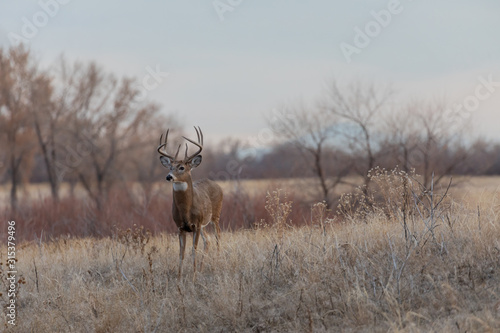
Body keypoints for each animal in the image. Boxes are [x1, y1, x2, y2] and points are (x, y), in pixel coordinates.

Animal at [158, 126, 223, 278]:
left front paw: (193, 277)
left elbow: (194, 250)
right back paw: (201, 269)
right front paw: (179, 277)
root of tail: (218, 185)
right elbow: (181, 253)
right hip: (204, 224)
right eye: (170, 167)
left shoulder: (196, 225)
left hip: (215, 216)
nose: (169, 176)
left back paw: (216, 263)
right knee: (208, 240)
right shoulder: (180, 227)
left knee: (218, 237)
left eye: (182, 167)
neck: (186, 211)